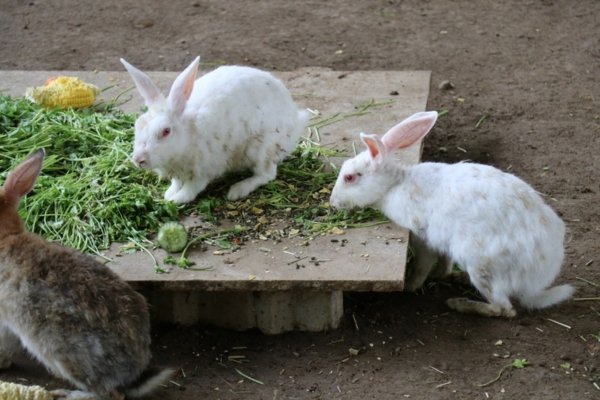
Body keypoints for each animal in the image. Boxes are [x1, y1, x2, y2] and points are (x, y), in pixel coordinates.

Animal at [120, 57, 310, 203]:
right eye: (137, 125)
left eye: (166, 131)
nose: (138, 159)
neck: (189, 135)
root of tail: (295, 122)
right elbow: (176, 184)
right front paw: (169, 193)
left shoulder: (202, 170)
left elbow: (191, 189)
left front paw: (175, 199)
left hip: (260, 148)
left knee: (267, 174)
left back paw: (237, 190)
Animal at [330, 111, 576, 318]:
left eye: (350, 177)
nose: (332, 203)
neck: (395, 184)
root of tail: (538, 277)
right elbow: (444, 262)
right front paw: (441, 274)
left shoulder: (423, 238)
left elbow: (422, 265)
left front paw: (410, 285)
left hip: (481, 267)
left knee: (504, 309)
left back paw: (459, 303)